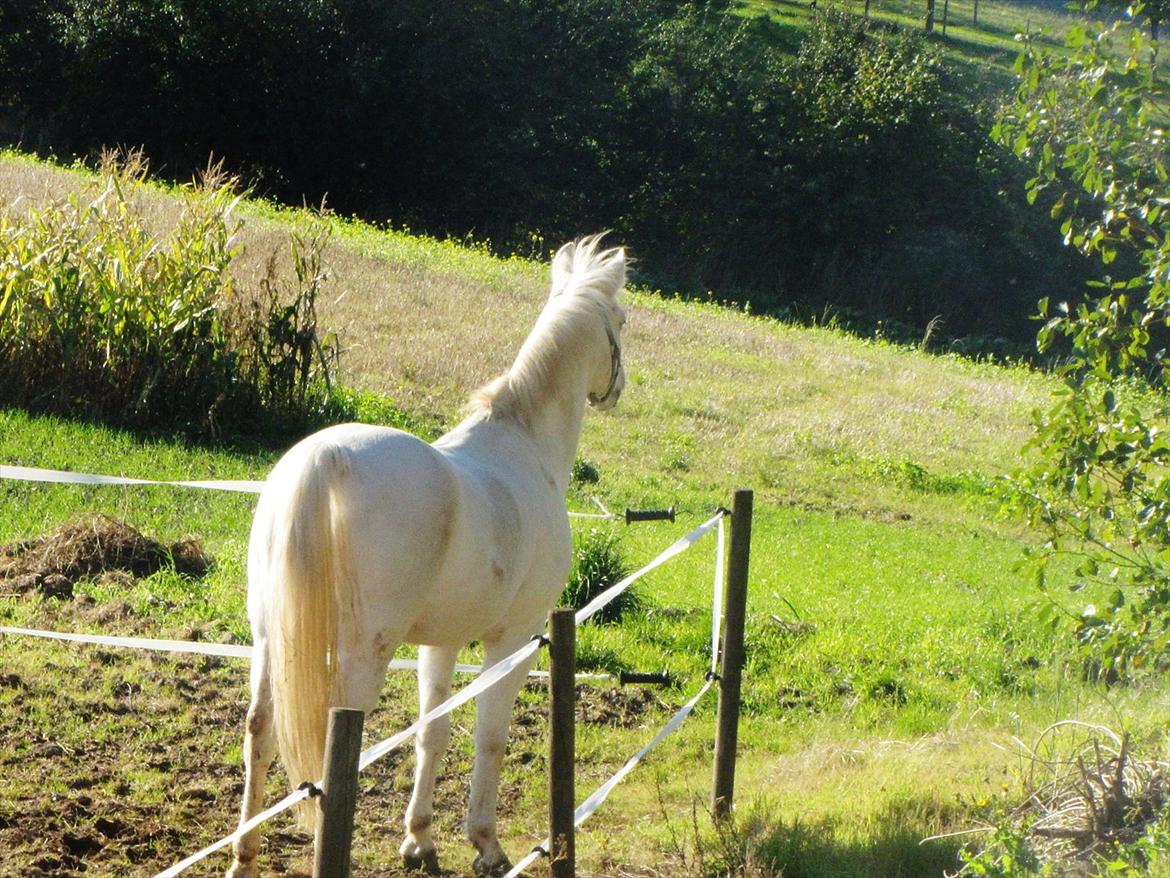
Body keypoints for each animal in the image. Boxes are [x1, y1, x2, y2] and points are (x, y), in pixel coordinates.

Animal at [226, 235, 631, 878]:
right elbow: (490, 736)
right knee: (332, 758)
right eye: (621, 319)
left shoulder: (441, 643)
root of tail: (324, 459)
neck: (524, 446)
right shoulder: (513, 640)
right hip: (359, 656)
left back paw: (244, 857)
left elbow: (432, 733)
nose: (616, 388)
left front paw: (419, 839)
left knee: (260, 731)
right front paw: (486, 844)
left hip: (271, 643)